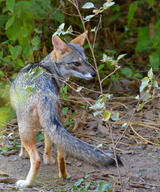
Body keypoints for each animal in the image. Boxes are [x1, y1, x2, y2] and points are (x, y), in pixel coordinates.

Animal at [9, 32, 122, 188]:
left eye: (85, 61)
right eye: (77, 63)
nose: (94, 74)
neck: (46, 67)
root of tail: (44, 92)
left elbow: (23, 144)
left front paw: (23, 154)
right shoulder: (47, 125)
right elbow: (48, 143)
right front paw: (48, 158)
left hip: (25, 127)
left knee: (36, 159)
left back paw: (26, 183)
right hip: (56, 123)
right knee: (61, 154)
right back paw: (63, 176)